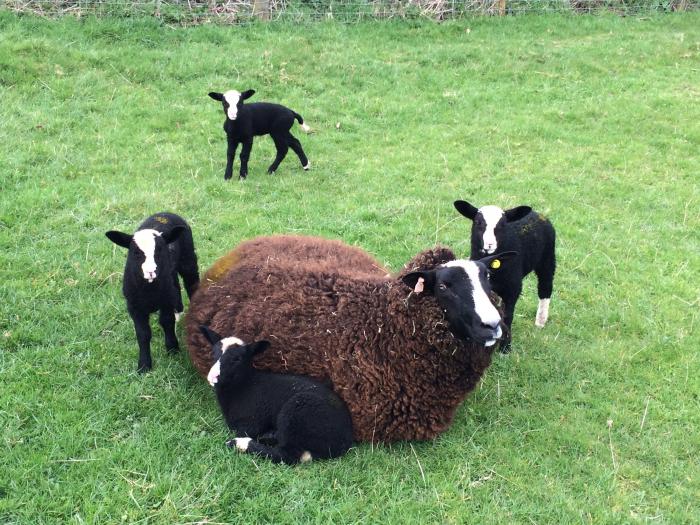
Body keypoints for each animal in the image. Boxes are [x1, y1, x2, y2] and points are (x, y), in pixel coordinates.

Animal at [106, 211, 200, 370]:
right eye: (136, 253)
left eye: (159, 251)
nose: (151, 271)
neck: (149, 290)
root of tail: (165, 213)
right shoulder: (134, 307)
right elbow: (143, 334)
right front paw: (144, 365)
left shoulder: (165, 302)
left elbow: (167, 322)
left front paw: (172, 349)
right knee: (176, 285)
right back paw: (178, 310)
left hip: (188, 259)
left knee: (191, 283)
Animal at [201, 326, 356, 464]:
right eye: (213, 354)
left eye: (237, 359)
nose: (212, 377)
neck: (245, 385)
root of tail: (344, 441)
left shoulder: (250, 424)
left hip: (296, 414)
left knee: (286, 455)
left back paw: (239, 444)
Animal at [454, 201, 556, 352]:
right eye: (478, 222)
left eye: (502, 225)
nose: (489, 244)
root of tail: (536, 213)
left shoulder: (513, 289)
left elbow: (508, 317)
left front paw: (505, 347)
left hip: (547, 259)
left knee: (545, 288)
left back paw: (540, 321)